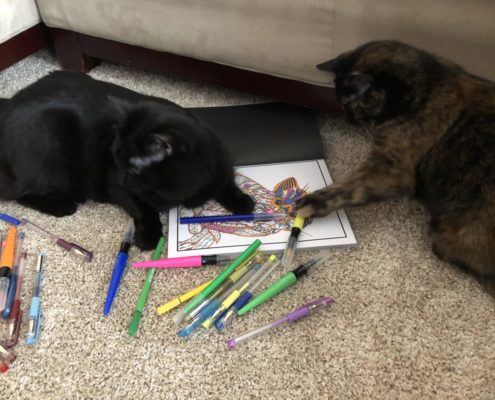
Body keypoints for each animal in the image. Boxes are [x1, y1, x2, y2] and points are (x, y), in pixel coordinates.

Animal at [0, 70, 254, 248]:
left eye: (134, 169)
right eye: (115, 160)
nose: (122, 177)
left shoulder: (220, 164)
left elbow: (226, 184)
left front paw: (243, 203)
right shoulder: (118, 190)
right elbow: (144, 209)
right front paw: (149, 236)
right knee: (20, 193)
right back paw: (62, 205)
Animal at [296, 39, 495, 290]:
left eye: (348, 103)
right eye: (340, 103)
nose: (347, 119)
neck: (426, 86)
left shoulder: (390, 170)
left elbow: (349, 187)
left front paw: (312, 202)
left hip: (446, 232)